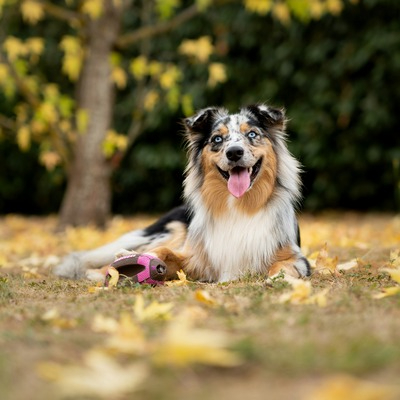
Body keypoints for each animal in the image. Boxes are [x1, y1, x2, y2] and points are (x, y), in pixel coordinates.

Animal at [54, 104, 310, 282]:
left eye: (253, 135)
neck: (239, 206)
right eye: (217, 139)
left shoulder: (296, 256)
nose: (234, 152)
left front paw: (281, 279)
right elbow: (165, 253)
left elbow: (285, 266)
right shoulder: (195, 257)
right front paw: (133, 261)